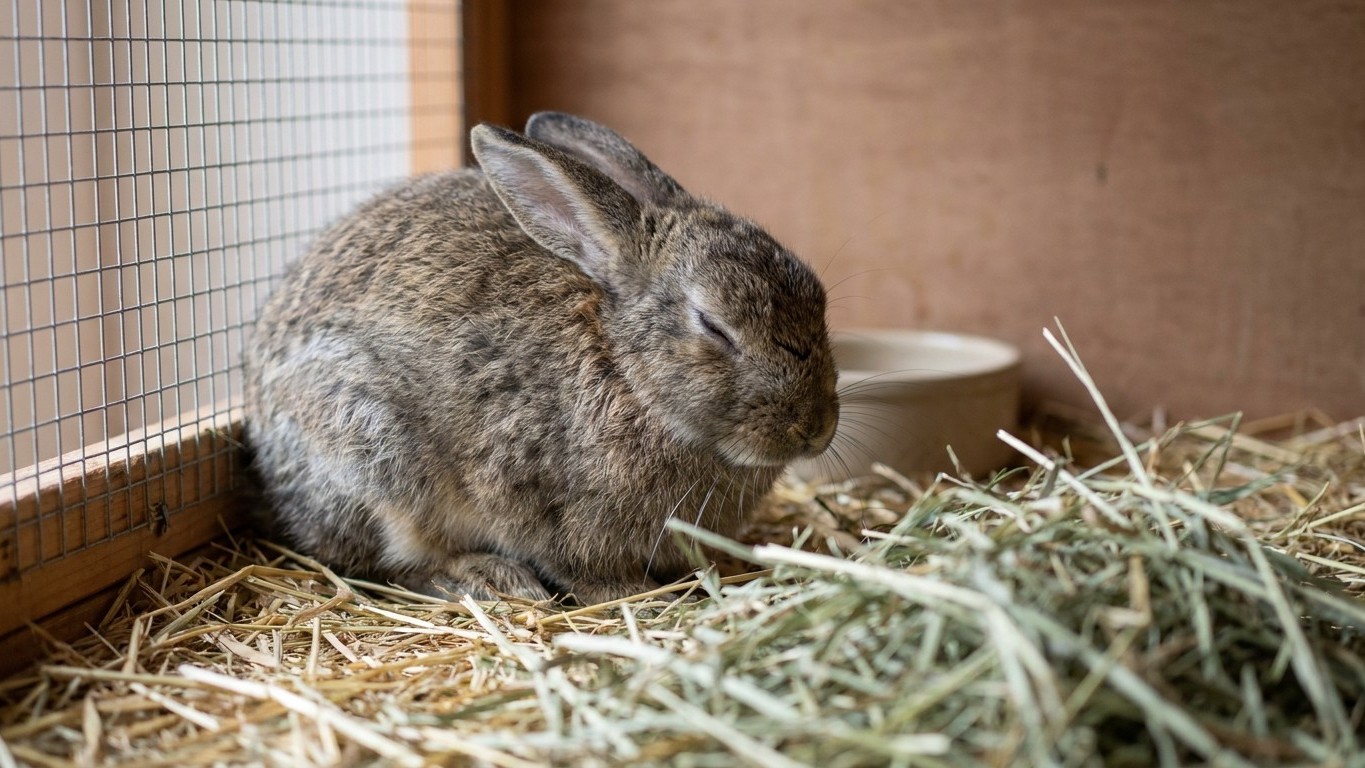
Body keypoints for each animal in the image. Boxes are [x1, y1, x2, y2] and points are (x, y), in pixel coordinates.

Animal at [242, 112, 839, 605]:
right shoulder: (535, 498)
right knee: (386, 562)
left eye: (820, 300)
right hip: (370, 450)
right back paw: (487, 578)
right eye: (713, 326)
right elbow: (577, 566)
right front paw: (636, 595)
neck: (626, 372)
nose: (816, 428)